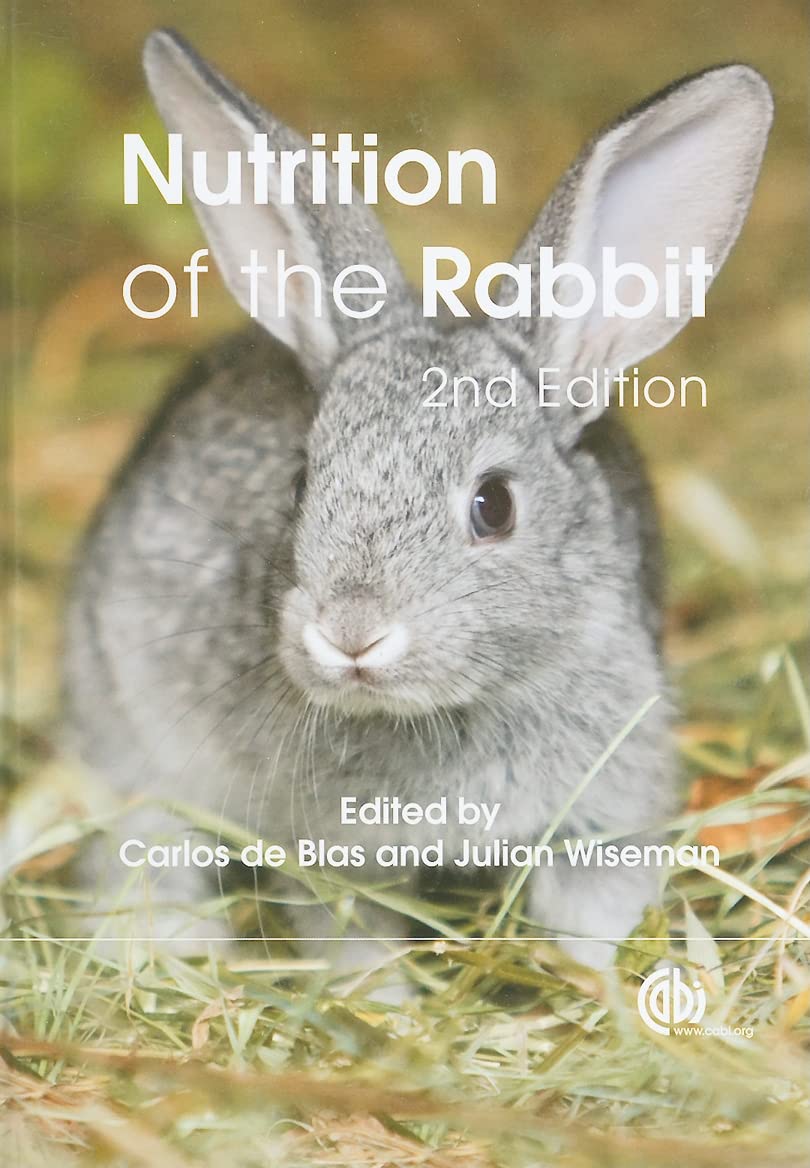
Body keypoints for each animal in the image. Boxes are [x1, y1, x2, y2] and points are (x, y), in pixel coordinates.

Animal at [63, 28, 772, 972]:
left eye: (494, 506)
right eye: (301, 482)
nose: (351, 633)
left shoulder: (606, 814)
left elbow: (593, 913)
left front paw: (602, 982)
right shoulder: (334, 854)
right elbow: (352, 936)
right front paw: (377, 994)